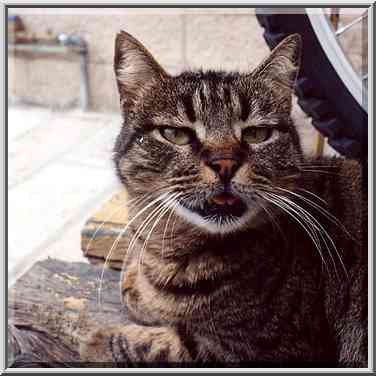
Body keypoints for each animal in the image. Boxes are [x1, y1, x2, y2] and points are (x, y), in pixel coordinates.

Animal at [79, 31, 368, 368]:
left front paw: (95, 341)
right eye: (175, 134)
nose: (225, 163)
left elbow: (159, 345)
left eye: (257, 134)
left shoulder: (271, 348)